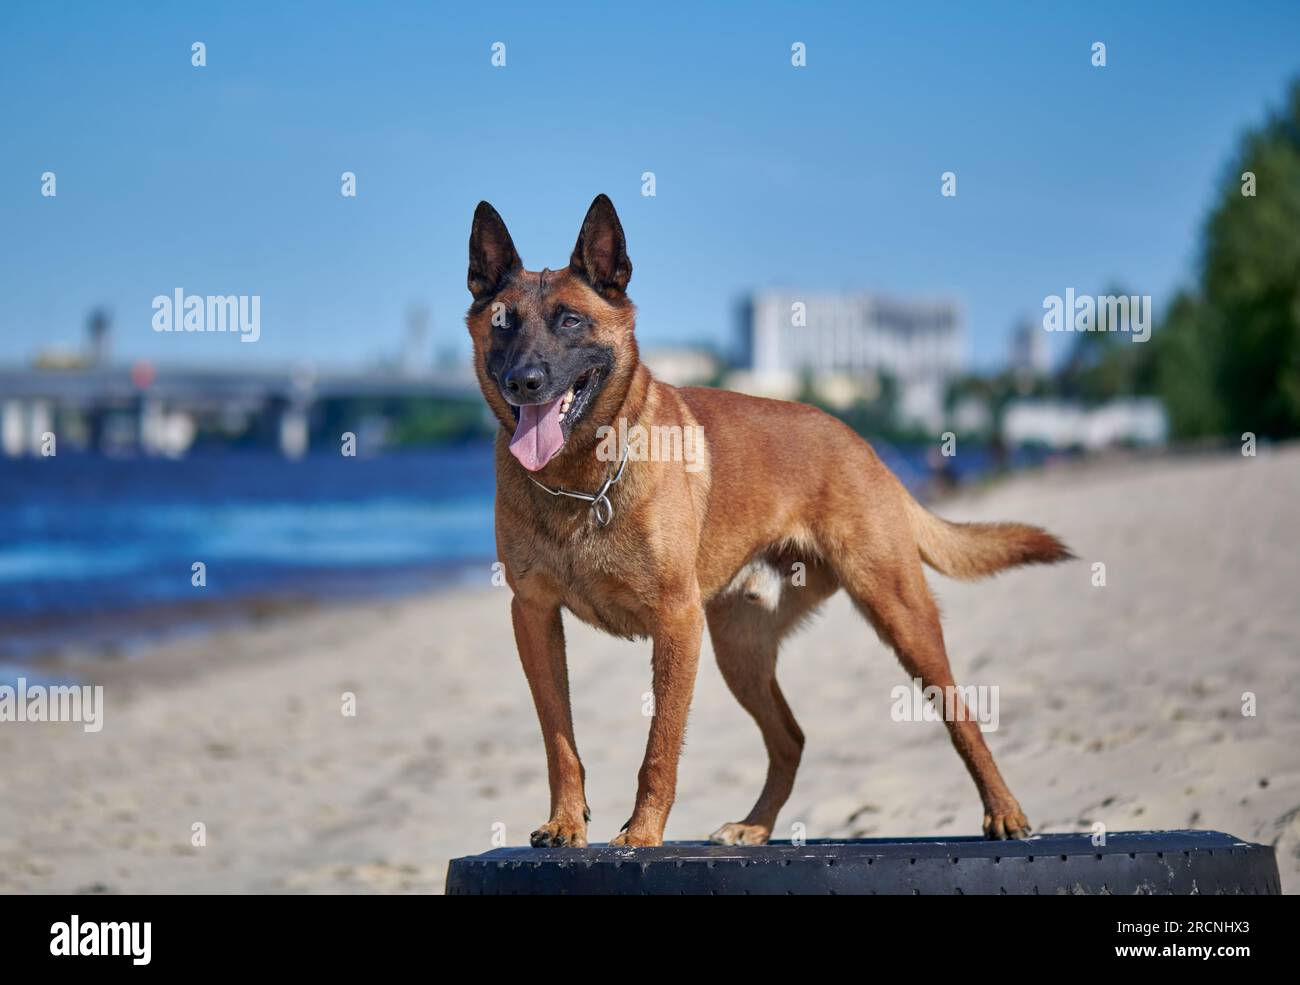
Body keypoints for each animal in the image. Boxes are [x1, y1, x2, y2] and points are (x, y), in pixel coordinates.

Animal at [462, 192, 1071, 847]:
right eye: (503, 323)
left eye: (571, 321)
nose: (524, 382)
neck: (578, 479)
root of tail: (861, 443)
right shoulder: (535, 618)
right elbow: (560, 742)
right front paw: (566, 821)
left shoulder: (676, 623)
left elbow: (660, 750)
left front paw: (643, 833)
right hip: (741, 650)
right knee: (791, 738)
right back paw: (755, 826)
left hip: (899, 614)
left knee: (962, 716)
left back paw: (1003, 809)